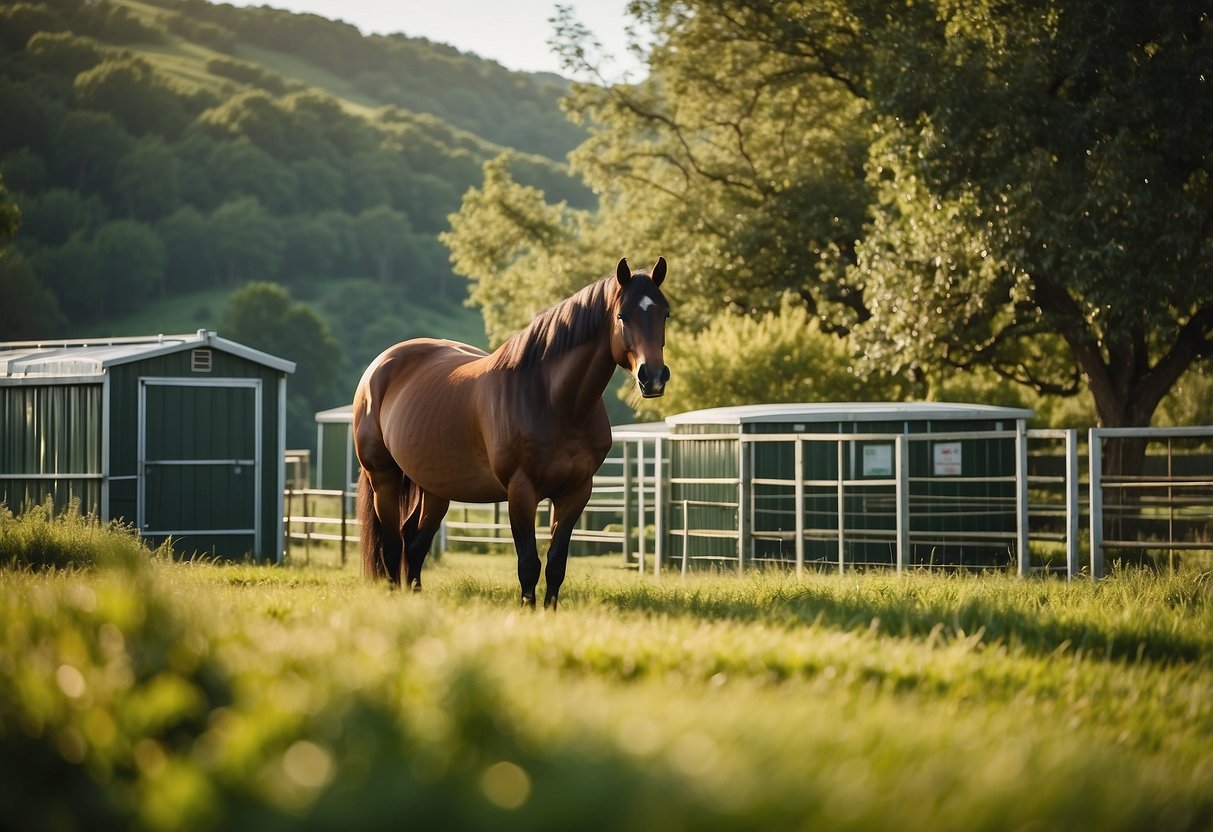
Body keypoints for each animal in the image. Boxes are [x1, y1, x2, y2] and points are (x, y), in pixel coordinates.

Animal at [351, 257, 674, 608]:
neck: (553, 400)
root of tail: (380, 366)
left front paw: (548, 612)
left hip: (435, 486)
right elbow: (529, 562)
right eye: (621, 316)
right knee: (392, 542)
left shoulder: (576, 492)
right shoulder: (521, 491)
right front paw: (528, 611)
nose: (653, 377)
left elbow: (556, 563)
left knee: (414, 541)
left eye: (664, 314)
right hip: (384, 476)